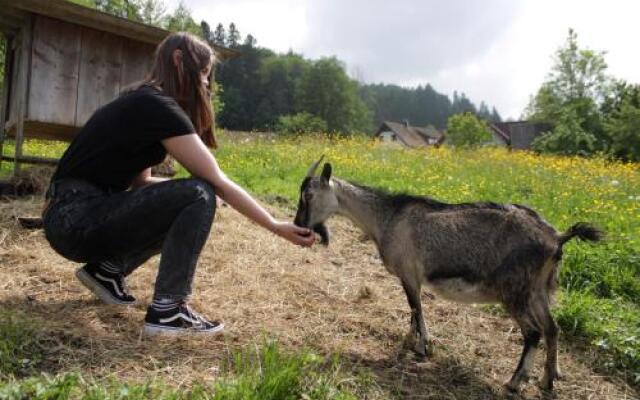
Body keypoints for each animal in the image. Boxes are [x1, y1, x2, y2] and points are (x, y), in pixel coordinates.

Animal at [296, 158, 604, 392]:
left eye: (308, 196)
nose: (299, 224)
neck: (387, 219)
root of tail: (557, 238)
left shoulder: (409, 273)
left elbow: (416, 308)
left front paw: (422, 347)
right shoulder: (411, 277)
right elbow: (414, 311)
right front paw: (412, 342)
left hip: (514, 290)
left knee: (533, 333)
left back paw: (515, 382)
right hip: (538, 289)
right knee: (552, 328)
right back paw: (548, 379)